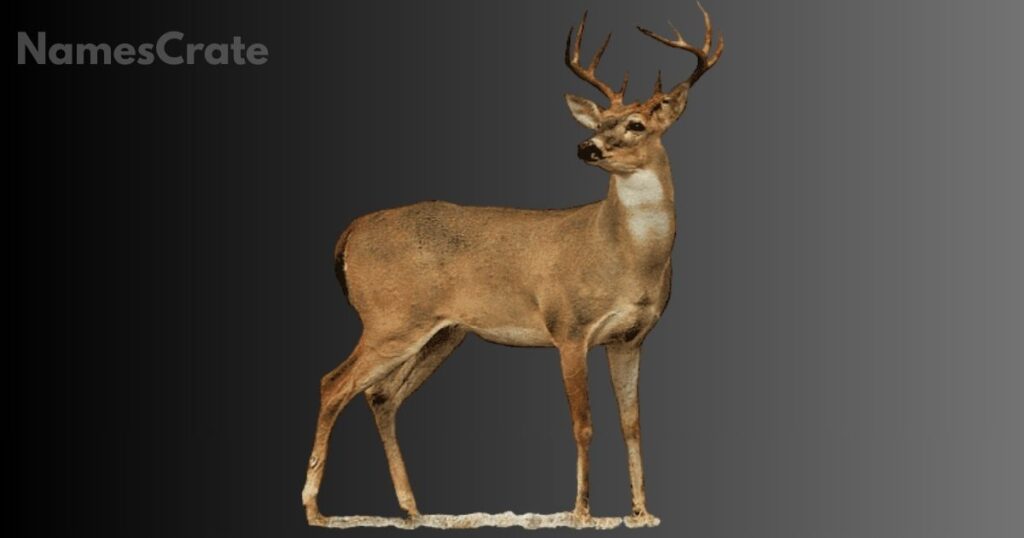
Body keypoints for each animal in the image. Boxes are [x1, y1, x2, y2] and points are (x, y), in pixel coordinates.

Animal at [302, 3, 723, 529]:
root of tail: (350, 233)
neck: (623, 254)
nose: (586, 148)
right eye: (599, 121)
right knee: (333, 384)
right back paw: (315, 508)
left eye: (635, 125)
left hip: (442, 332)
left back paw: (412, 508)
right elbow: (584, 424)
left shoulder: (630, 338)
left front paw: (642, 512)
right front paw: (582, 511)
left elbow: (632, 424)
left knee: (380, 396)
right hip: (390, 317)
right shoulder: (569, 327)